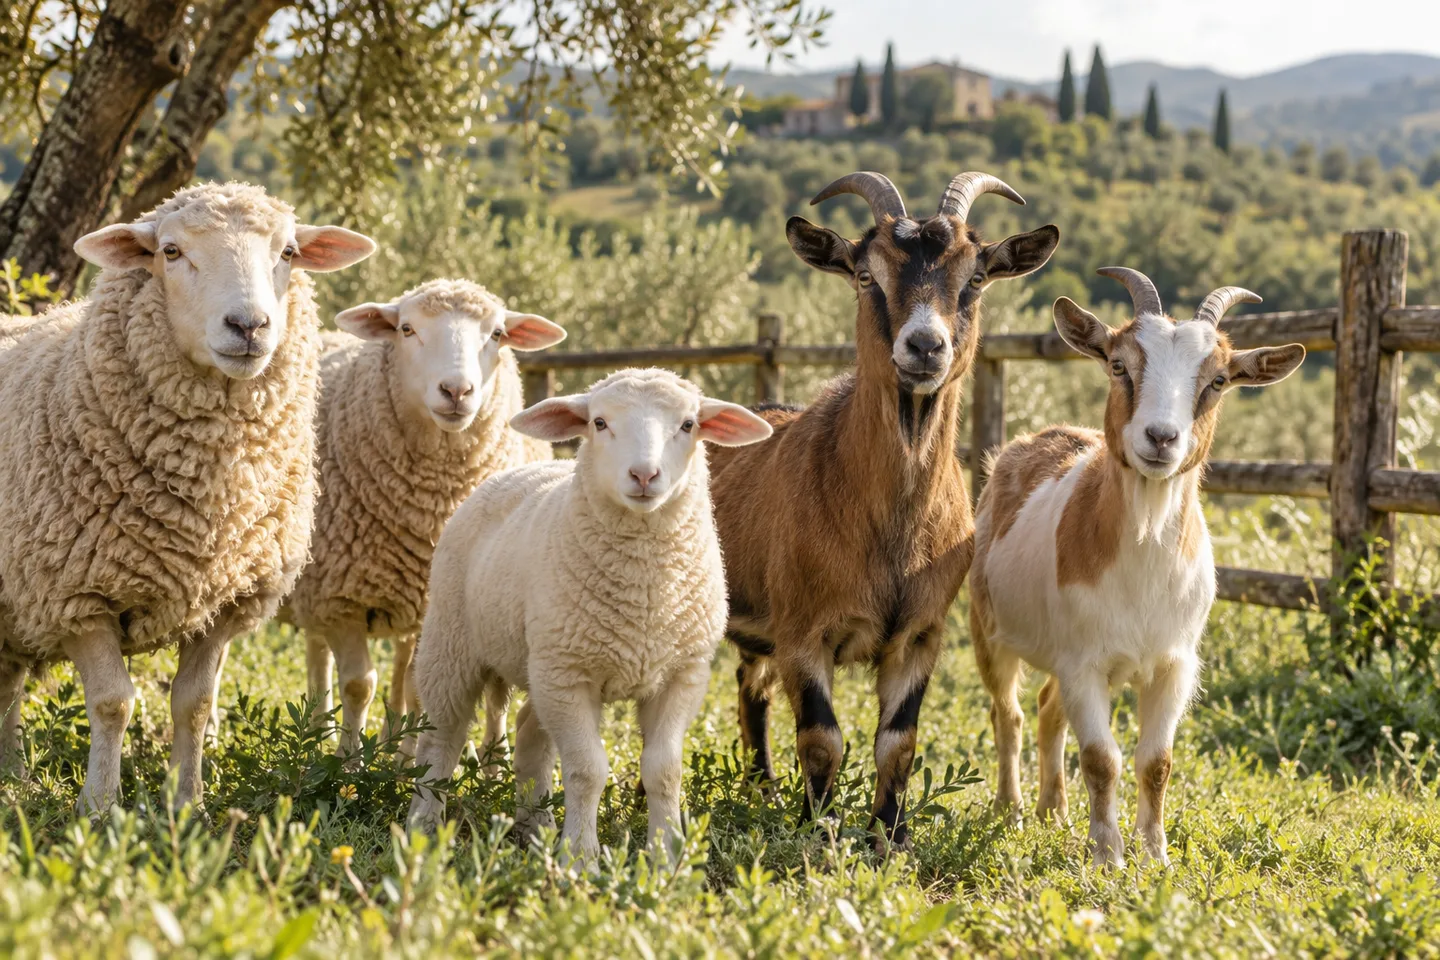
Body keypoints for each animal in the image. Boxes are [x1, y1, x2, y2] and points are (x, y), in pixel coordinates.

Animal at [0, 182, 375, 812]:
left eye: (290, 252)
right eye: (170, 252)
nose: (249, 325)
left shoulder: (226, 600)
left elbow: (194, 704)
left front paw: (188, 803)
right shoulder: (75, 594)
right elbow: (113, 702)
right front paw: (99, 807)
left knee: (6, 681)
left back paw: (12, 777)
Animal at [284, 279, 566, 756]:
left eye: (497, 334)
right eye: (407, 329)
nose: (456, 391)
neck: (432, 505)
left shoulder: (429, 601)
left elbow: (417, 686)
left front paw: (402, 757)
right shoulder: (339, 599)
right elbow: (359, 685)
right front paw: (348, 762)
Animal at [406, 368, 773, 861]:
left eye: (688, 425)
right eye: (599, 422)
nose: (644, 474)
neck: (644, 597)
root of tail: (515, 472)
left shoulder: (681, 675)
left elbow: (664, 770)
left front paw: (665, 854)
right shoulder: (569, 675)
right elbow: (587, 770)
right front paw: (580, 856)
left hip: (540, 664)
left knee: (528, 733)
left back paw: (536, 827)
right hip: (453, 643)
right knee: (441, 735)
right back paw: (424, 825)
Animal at [706, 171, 1060, 850]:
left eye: (976, 277)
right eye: (865, 274)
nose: (924, 346)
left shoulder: (921, 632)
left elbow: (898, 741)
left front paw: (890, 836)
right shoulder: (803, 630)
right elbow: (822, 739)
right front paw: (819, 829)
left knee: (750, 688)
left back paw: (762, 790)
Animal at [968, 268, 1305, 867]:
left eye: (1218, 380)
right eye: (1119, 364)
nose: (1161, 438)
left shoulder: (1174, 664)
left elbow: (1157, 762)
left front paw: (1156, 855)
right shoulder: (1084, 663)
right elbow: (1102, 758)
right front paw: (1108, 856)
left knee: (1048, 708)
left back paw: (1053, 812)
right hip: (988, 627)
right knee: (1008, 712)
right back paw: (1011, 808)